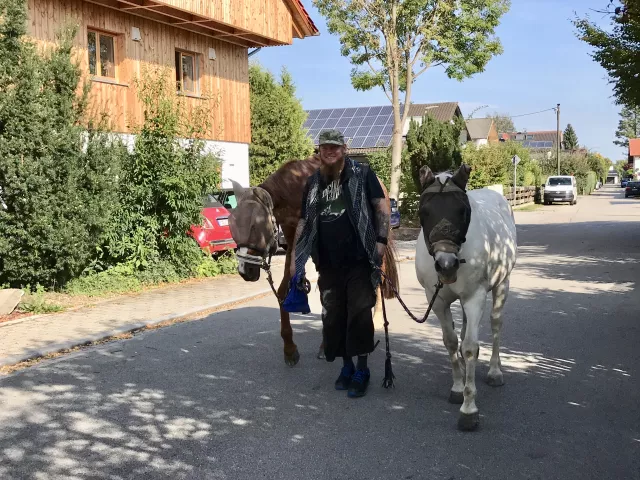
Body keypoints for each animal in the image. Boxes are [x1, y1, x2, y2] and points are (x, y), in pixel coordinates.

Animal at [416, 165, 516, 432]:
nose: (446, 265)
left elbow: (470, 347)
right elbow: (451, 341)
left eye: (462, 211)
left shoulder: (474, 297)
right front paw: (458, 387)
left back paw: (494, 371)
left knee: (496, 324)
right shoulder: (436, 300)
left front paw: (469, 409)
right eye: (423, 212)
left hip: (502, 284)